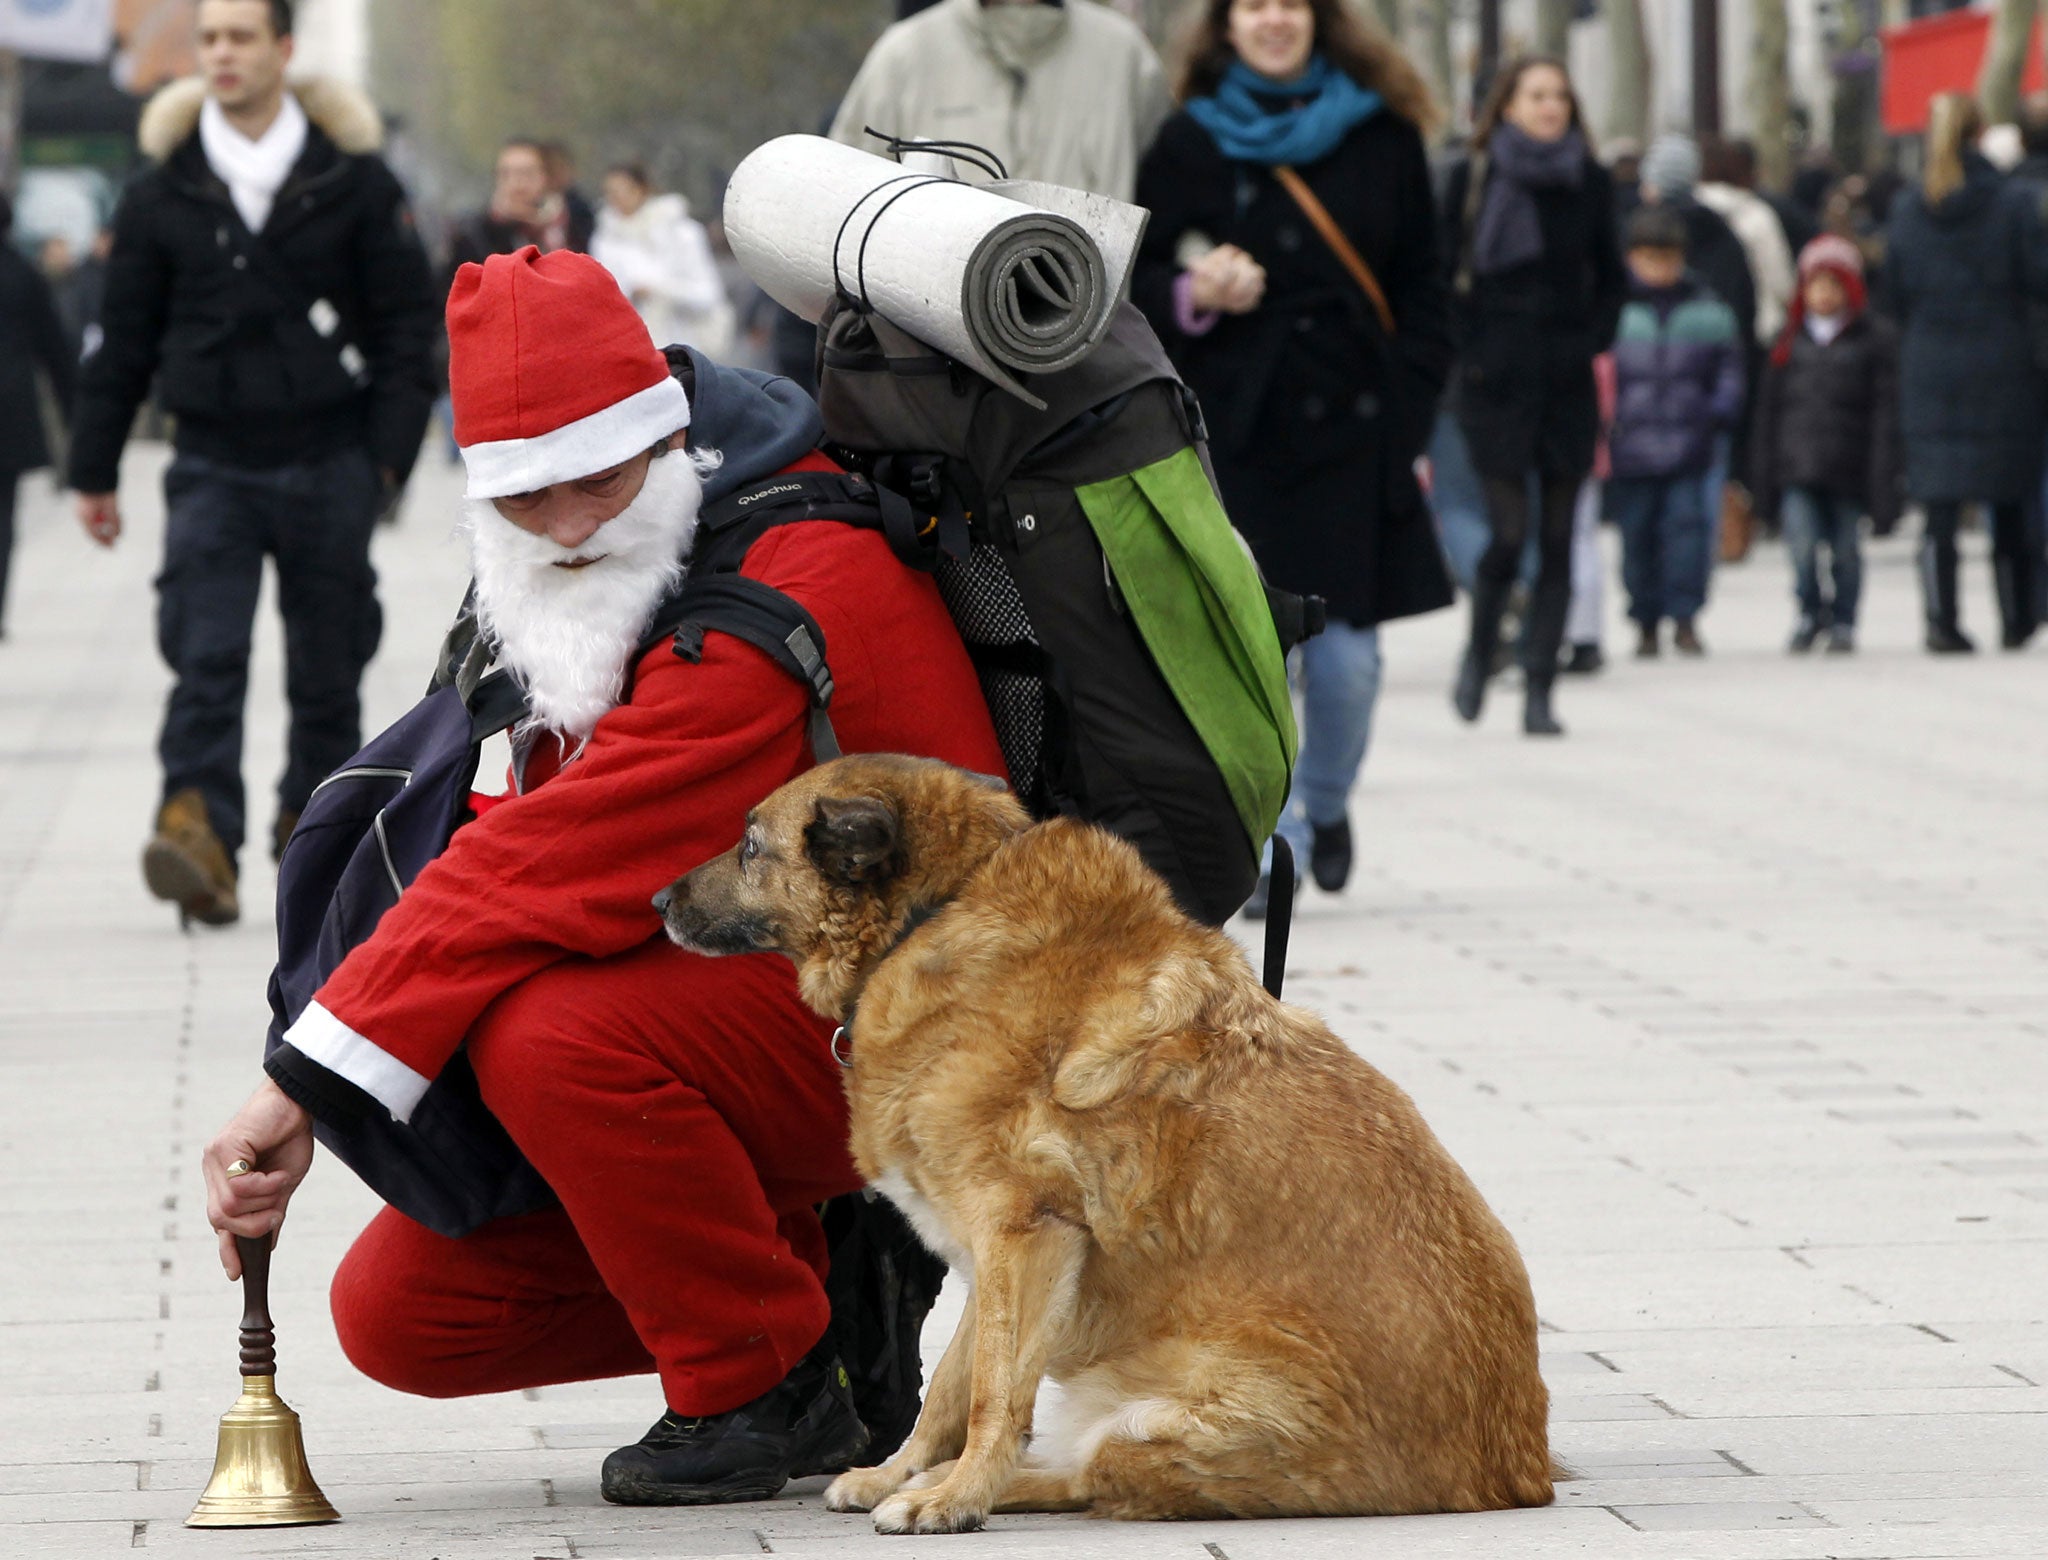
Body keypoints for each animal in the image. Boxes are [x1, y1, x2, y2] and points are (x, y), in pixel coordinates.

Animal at [655, 753, 1548, 1531]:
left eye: (750, 845)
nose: (658, 900)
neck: (938, 909)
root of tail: (1517, 1470)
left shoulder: (1024, 1235)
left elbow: (992, 1398)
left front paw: (954, 1497)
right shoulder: (998, 1254)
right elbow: (951, 1389)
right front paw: (900, 1474)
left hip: (1172, 1422)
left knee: (1095, 1475)